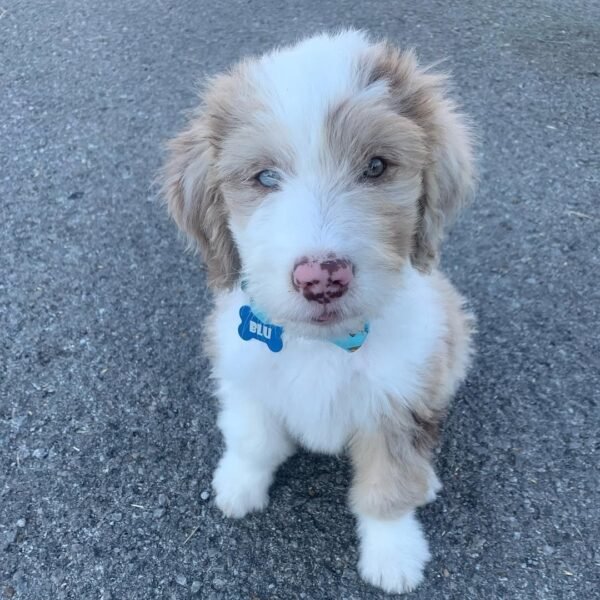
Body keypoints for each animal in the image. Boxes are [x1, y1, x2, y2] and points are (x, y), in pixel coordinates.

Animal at [162, 30, 476, 592]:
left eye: (376, 166)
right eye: (265, 177)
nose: (322, 279)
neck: (324, 345)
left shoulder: (398, 401)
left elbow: (388, 484)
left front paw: (393, 554)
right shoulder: (244, 371)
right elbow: (252, 436)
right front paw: (238, 485)